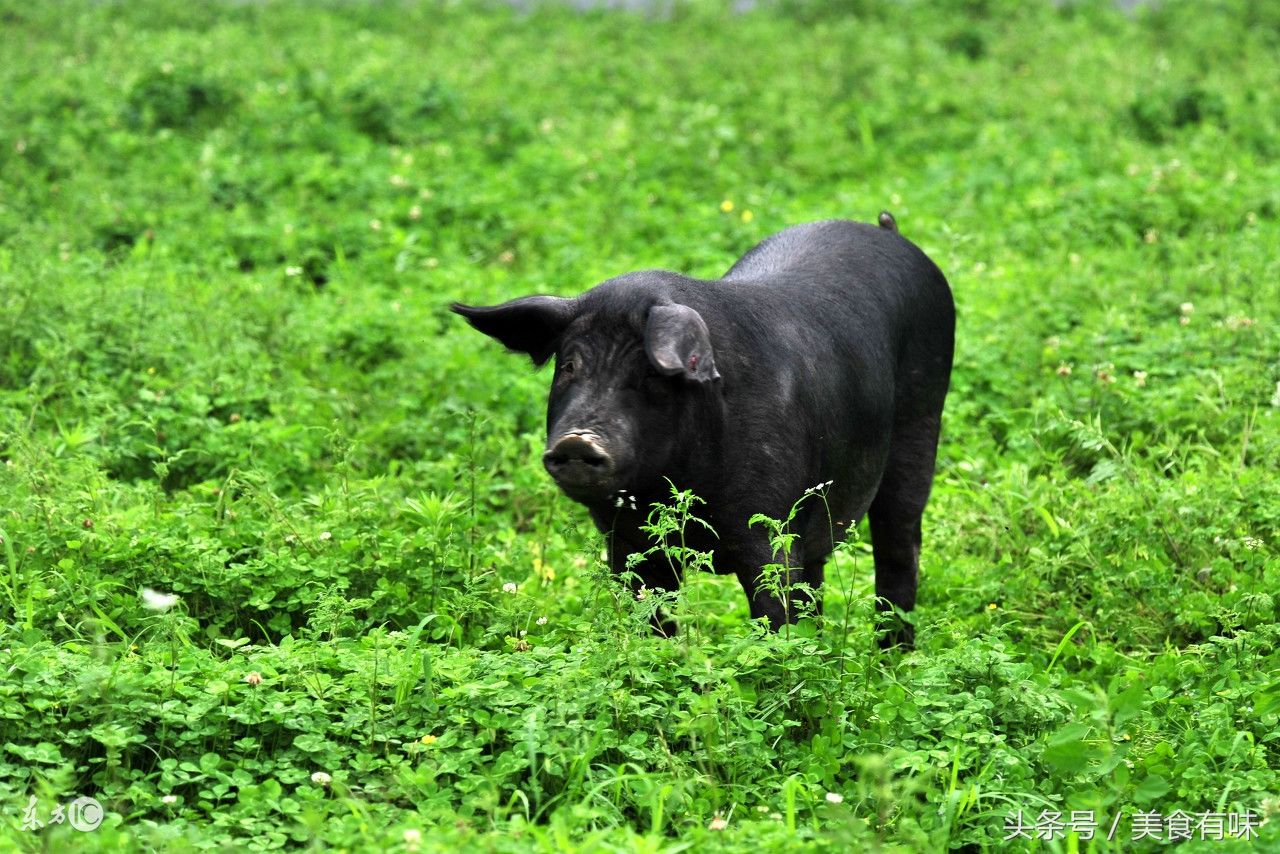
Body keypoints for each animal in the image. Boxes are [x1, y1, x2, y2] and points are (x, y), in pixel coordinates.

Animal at [455, 215, 957, 647]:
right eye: (569, 366)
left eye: (651, 374)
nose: (577, 440)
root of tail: (890, 232)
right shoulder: (629, 544)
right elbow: (653, 621)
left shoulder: (768, 530)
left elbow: (774, 617)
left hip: (921, 421)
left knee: (899, 548)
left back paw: (893, 654)